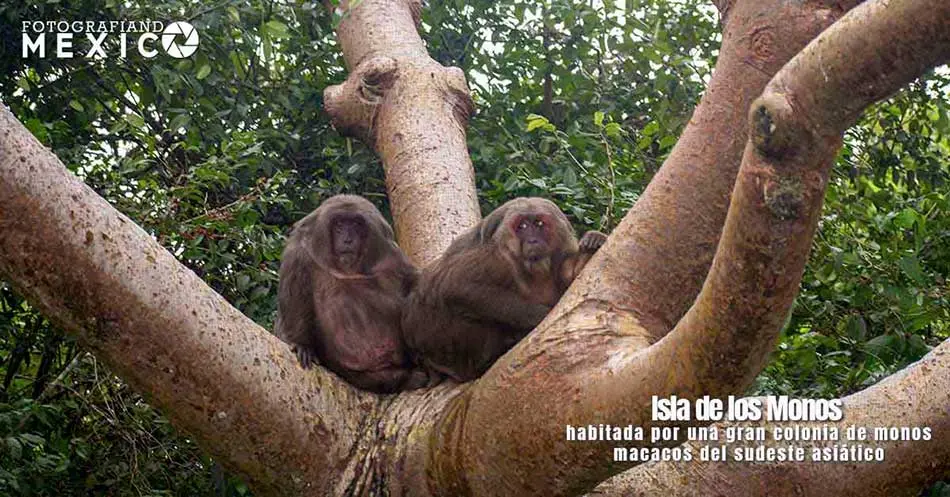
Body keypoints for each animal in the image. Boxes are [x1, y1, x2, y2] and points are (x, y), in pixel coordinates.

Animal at [274, 194, 429, 393]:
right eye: (339, 224)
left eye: (355, 224)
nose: (347, 238)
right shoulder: (298, 253)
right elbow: (294, 299)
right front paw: (301, 344)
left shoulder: (390, 254)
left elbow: (410, 282)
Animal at [402, 197, 607, 382]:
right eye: (522, 226)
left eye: (539, 224)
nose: (532, 241)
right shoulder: (499, 258)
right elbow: (454, 285)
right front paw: (540, 316)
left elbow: (574, 277)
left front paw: (593, 242)